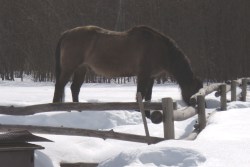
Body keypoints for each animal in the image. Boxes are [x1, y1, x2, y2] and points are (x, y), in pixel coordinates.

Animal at [52, 25, 203, 107]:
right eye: (194, 89)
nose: (196, 105)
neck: (158, 48)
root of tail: (66, 34)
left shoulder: (151, 77)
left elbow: (148, 97)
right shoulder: (143, 75)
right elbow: (140, 94)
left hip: (81, 69)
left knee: (74, 88)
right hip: (69, 68)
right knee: (59, 86)